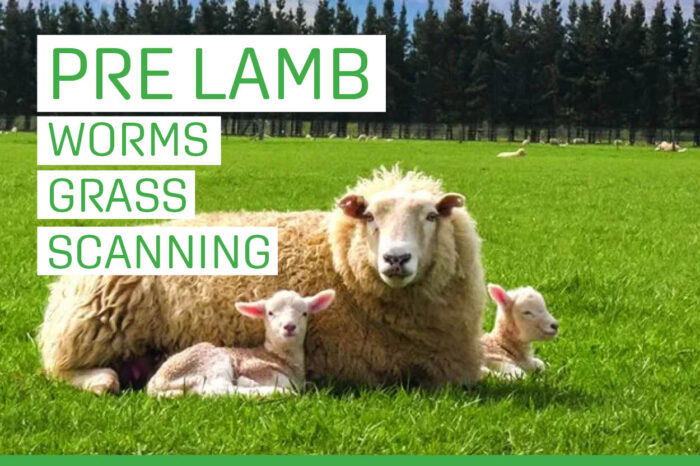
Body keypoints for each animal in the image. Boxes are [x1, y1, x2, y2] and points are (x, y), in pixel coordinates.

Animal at [147, 289, 335, 398]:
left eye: (304, 313)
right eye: (270, 313)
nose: (289, 327)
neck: (277, 355)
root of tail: (155, 384)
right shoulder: (252, 365)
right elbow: (286, 382)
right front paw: (250, 381)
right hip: (208, 361)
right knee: (218, 389)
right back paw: (273, 391)